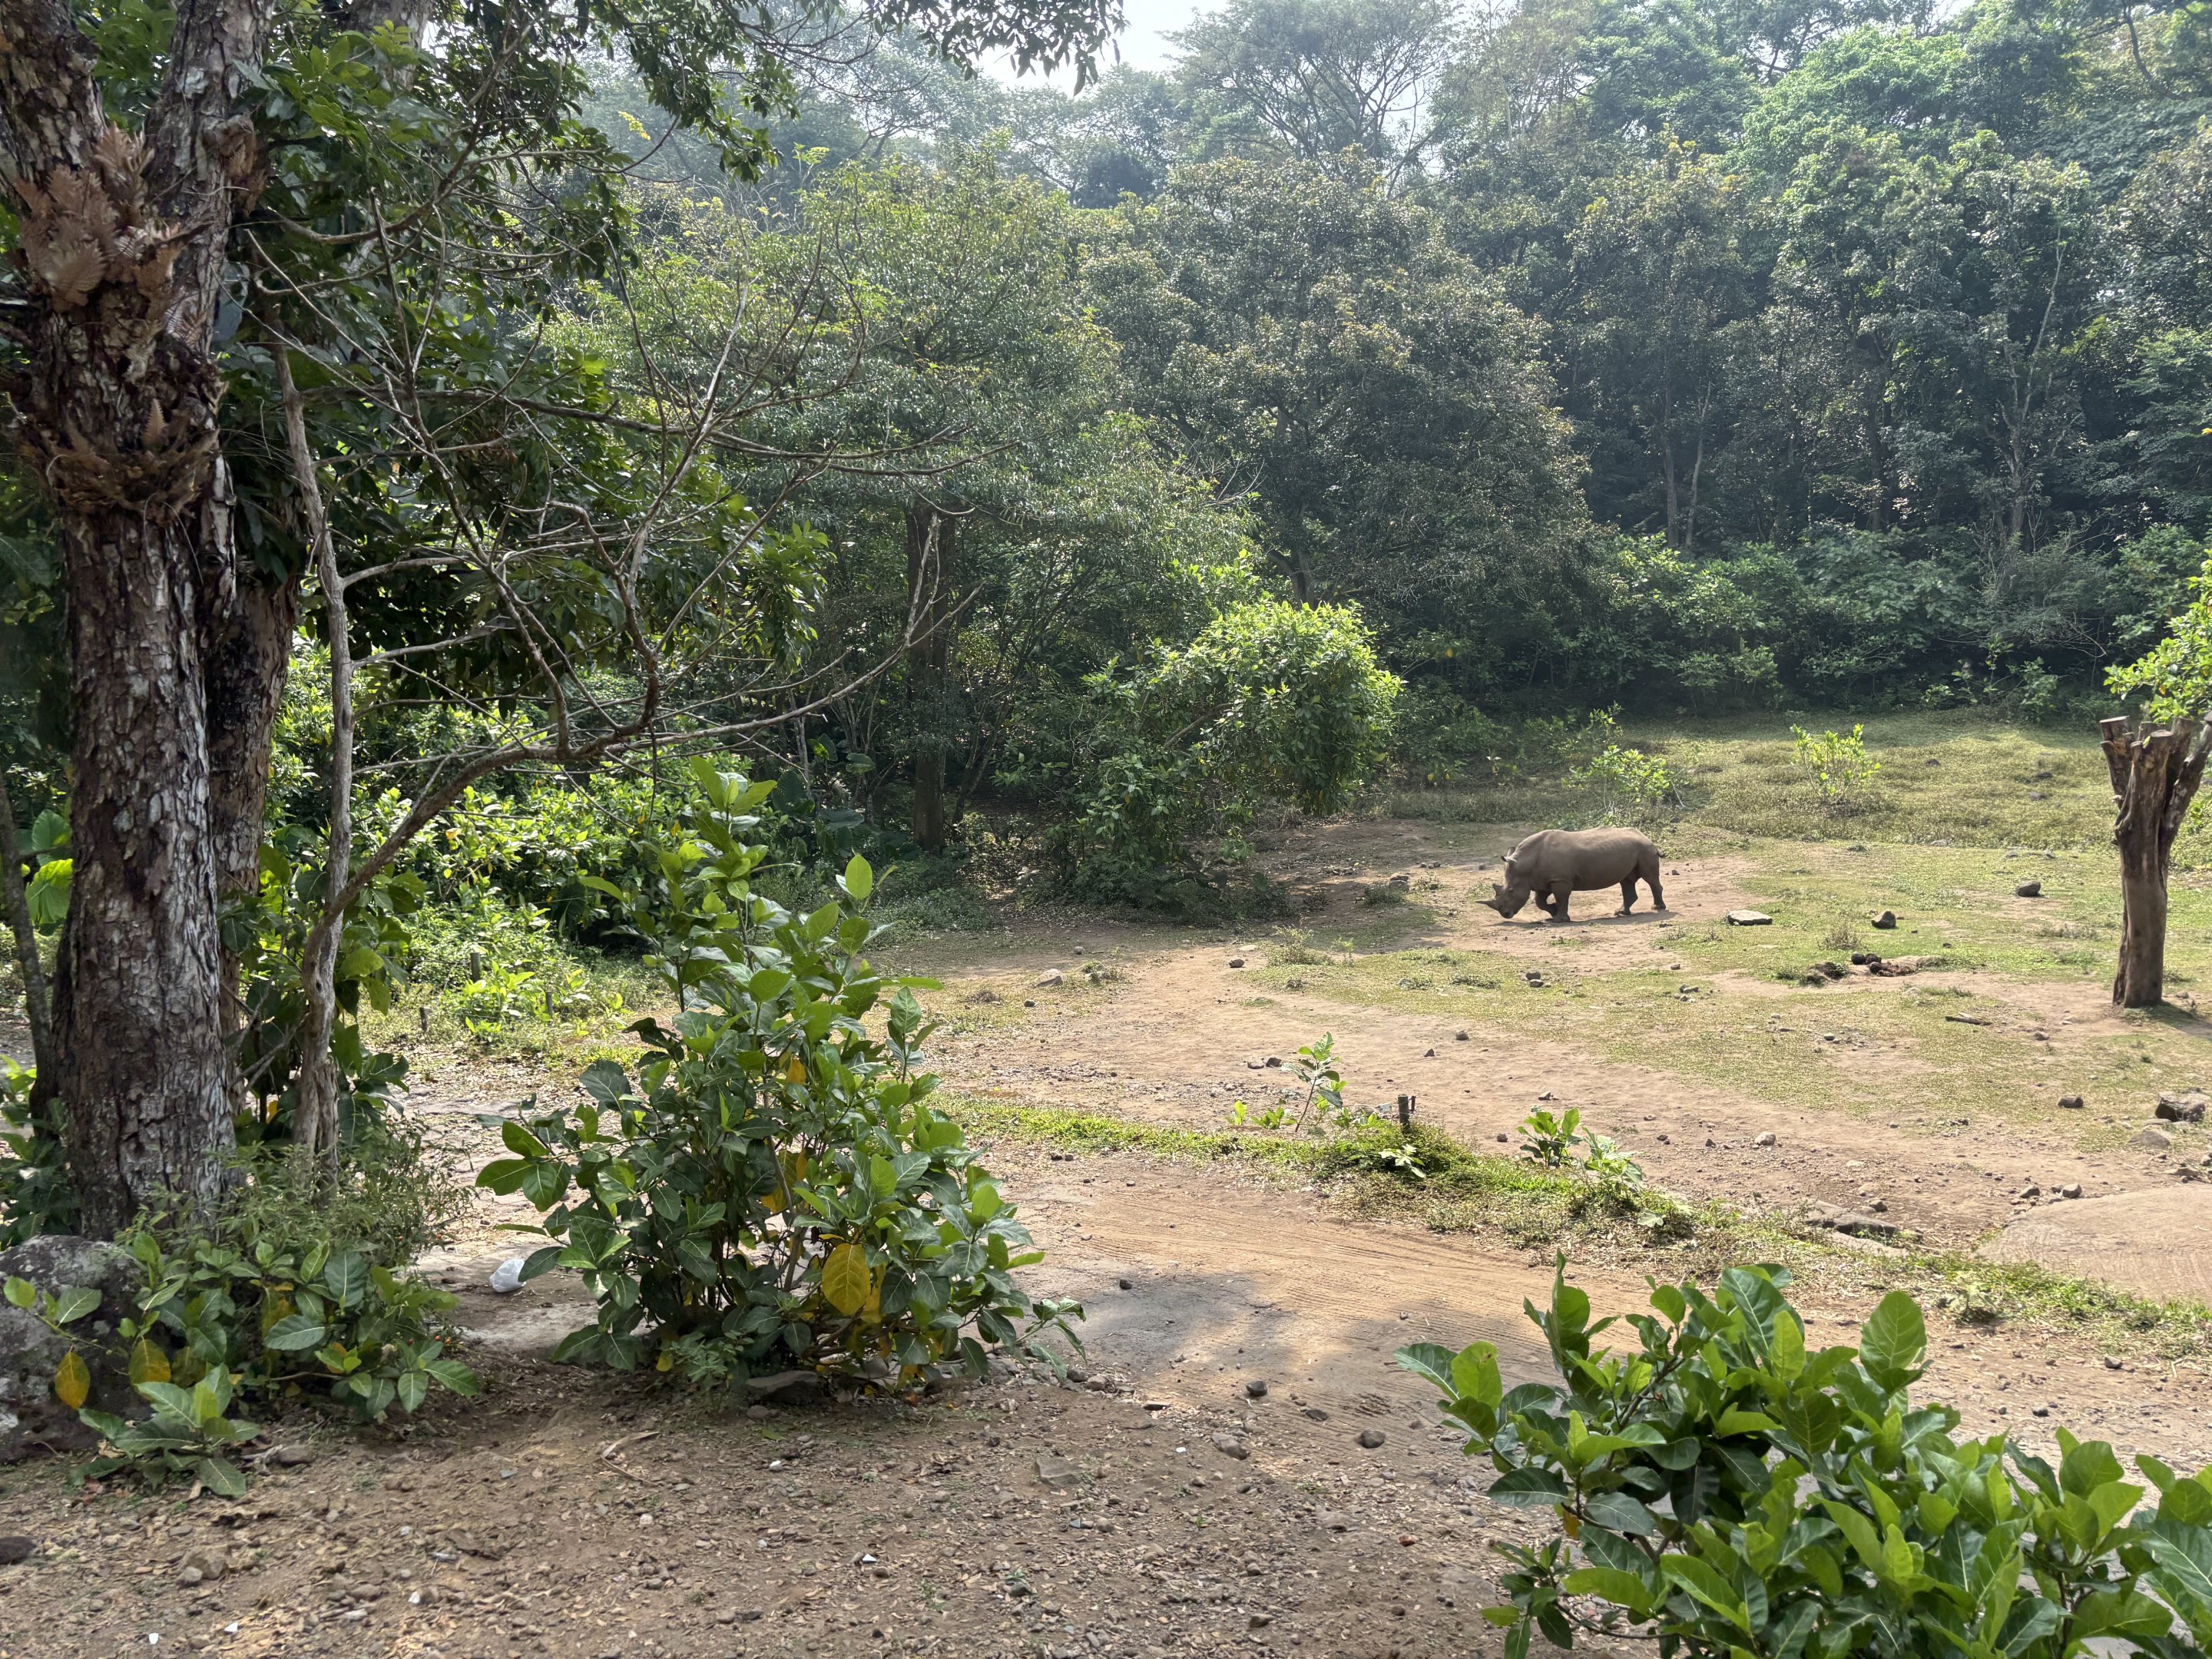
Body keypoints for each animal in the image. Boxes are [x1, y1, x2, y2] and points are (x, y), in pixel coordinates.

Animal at [1479, 827, 1666, 923]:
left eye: (1511, 891)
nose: (1505, 914)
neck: (1525, 863)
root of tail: (1647, 838)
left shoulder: (1561, 880)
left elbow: (1562, 898)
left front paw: (1560, 919)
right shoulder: (1544, 880)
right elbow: (1540, 901)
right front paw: (1553, 912)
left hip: (1645, 850)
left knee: (1650, 878)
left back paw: (1657, 908)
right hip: (1636, 850)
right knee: (1626, 880)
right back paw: (1621, 913)